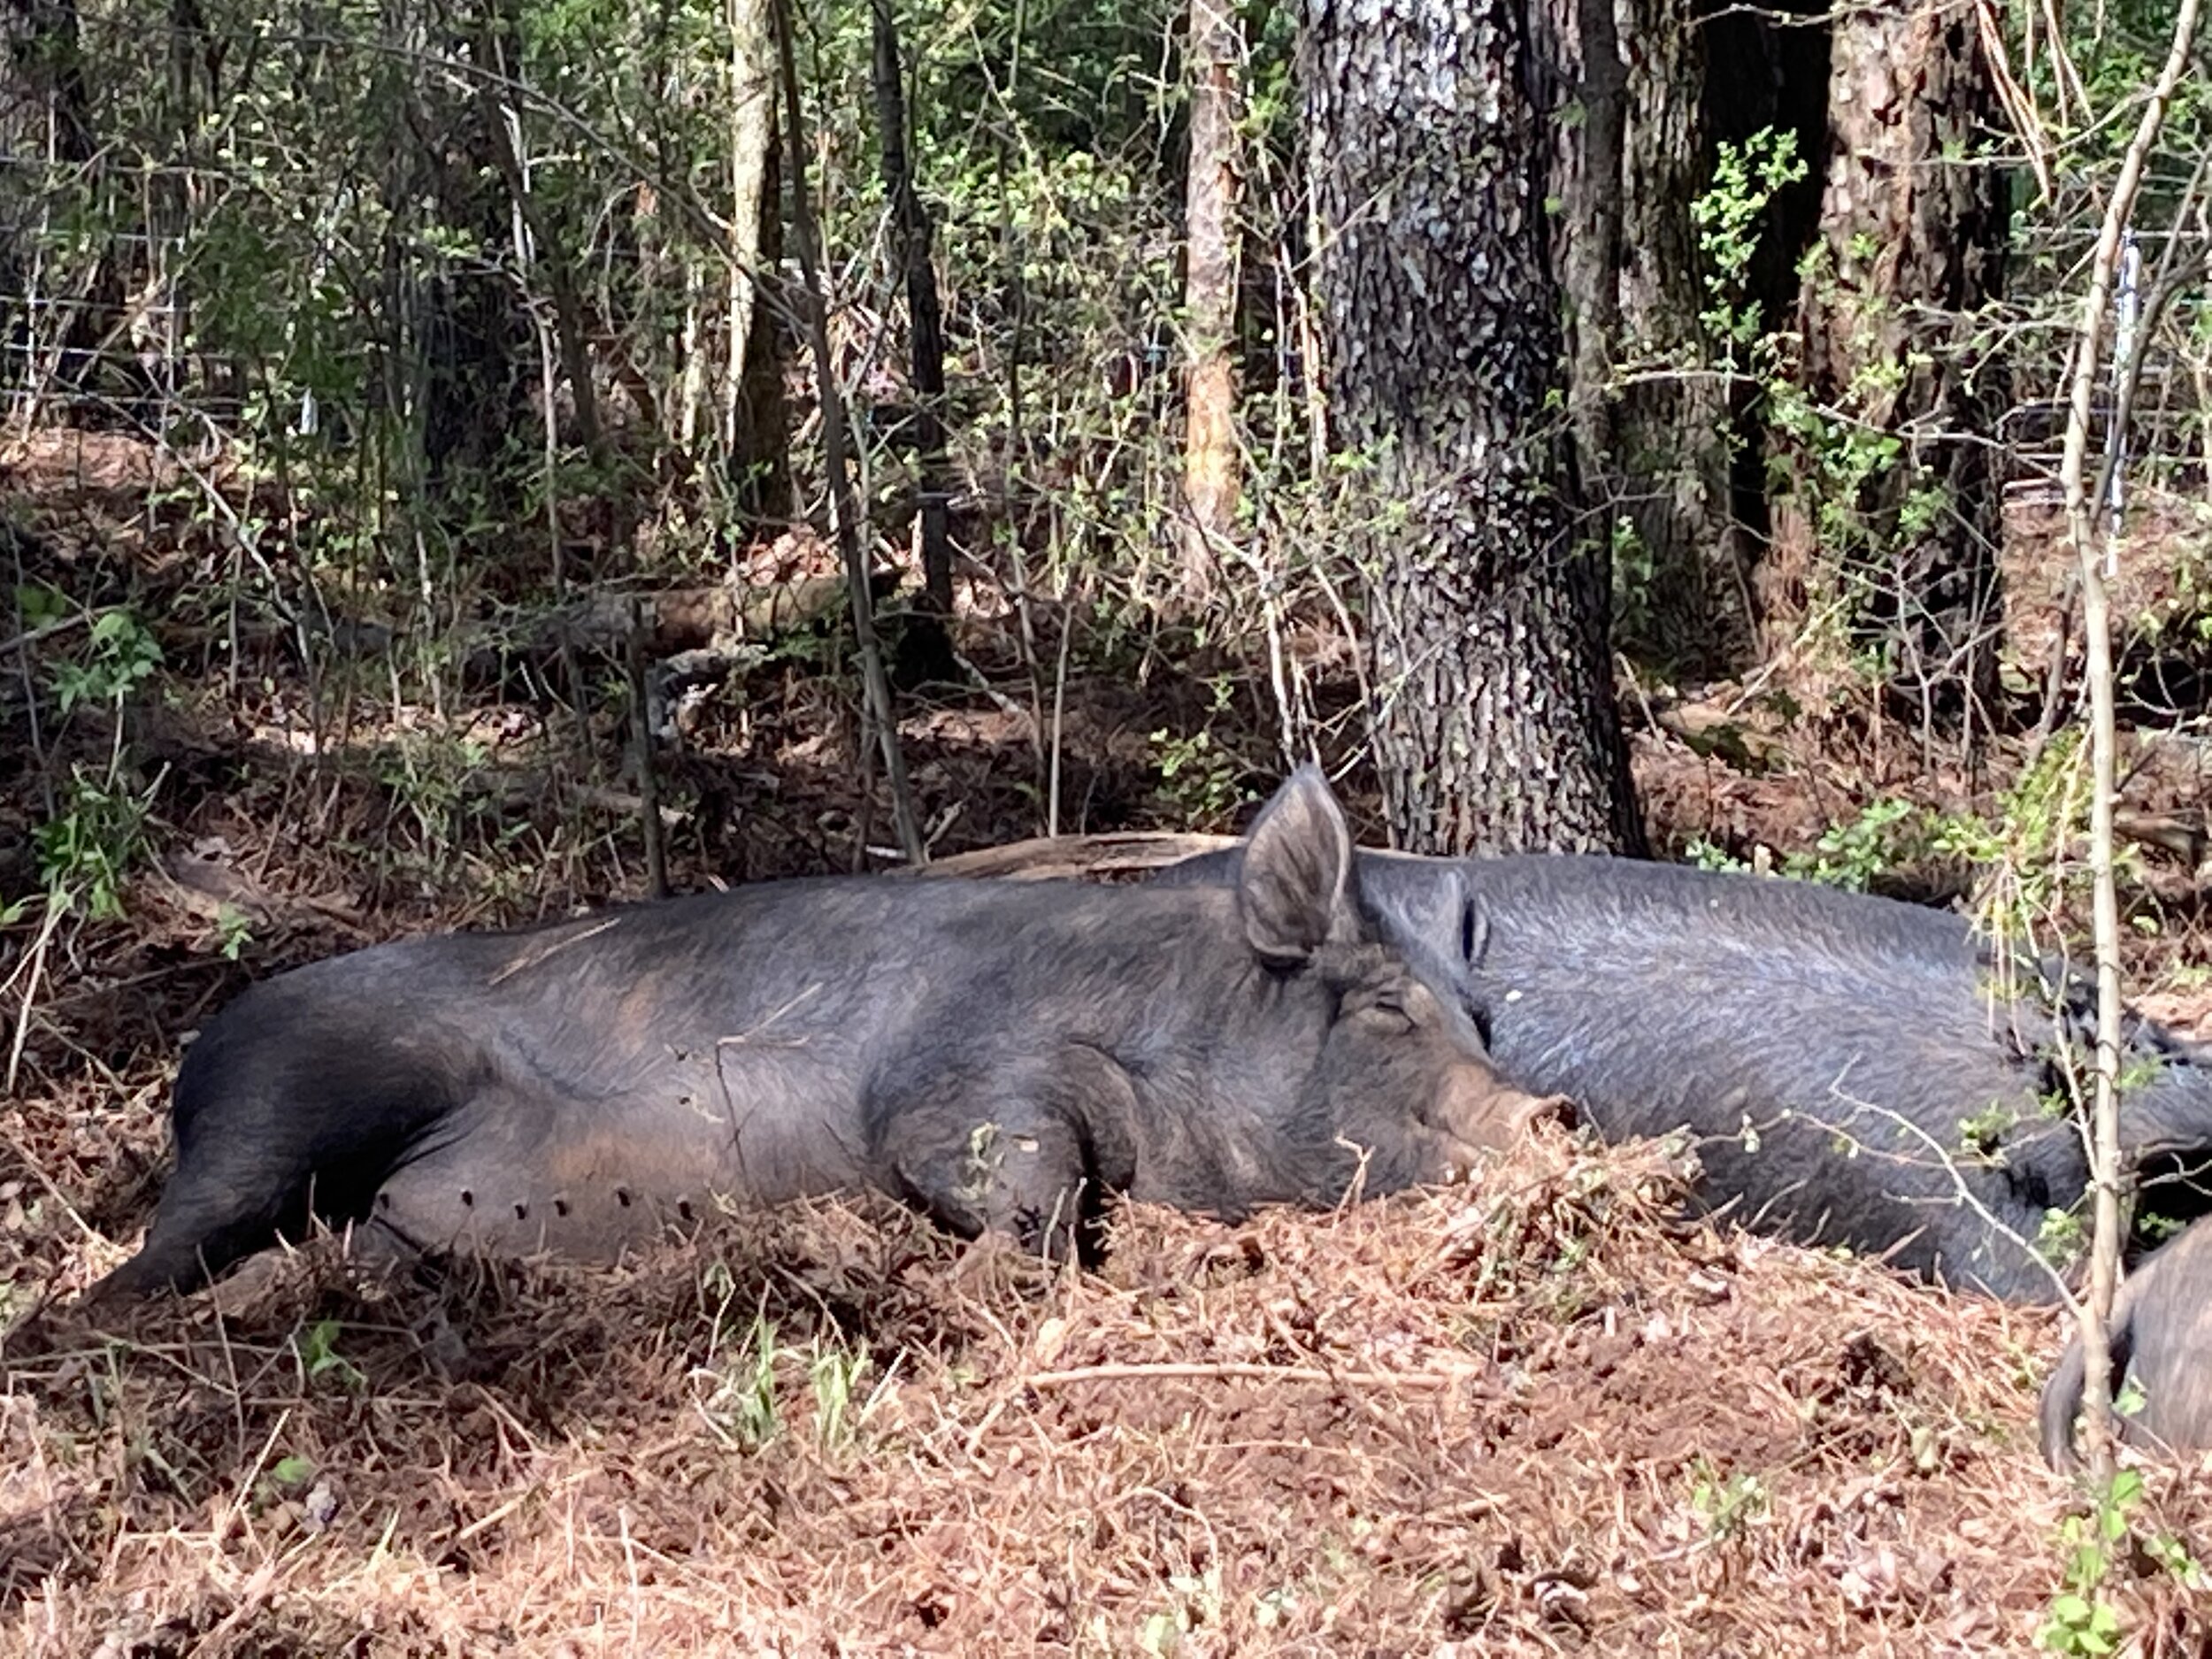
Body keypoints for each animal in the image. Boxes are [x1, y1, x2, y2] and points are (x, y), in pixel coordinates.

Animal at [87, 769, 1565, 1302]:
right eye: (1385, 1005)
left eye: (1482, 1017)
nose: (1547, 1109)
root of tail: (198, 1048)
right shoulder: (959, 1075)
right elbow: (1010, 1155)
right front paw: (1038, 1278)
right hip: (292, 1100)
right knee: (136, 1267)